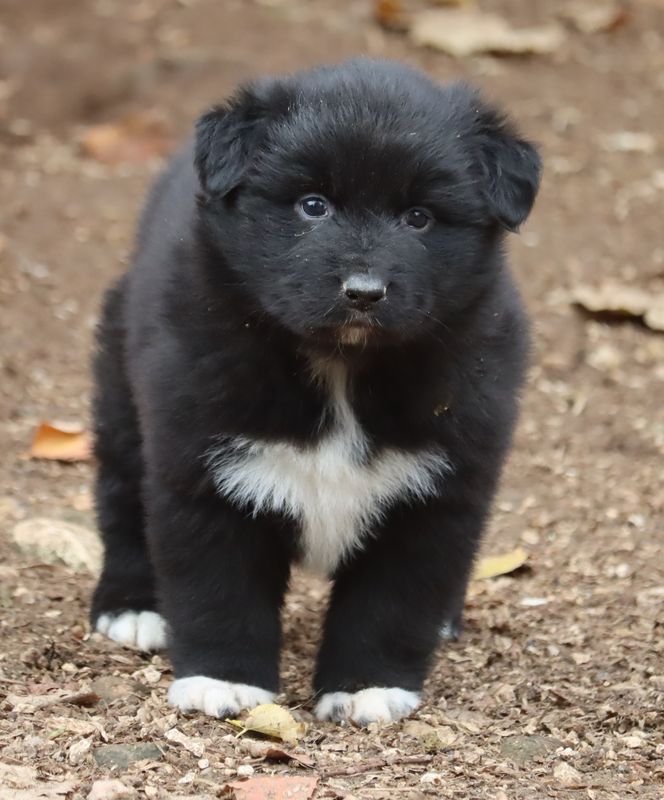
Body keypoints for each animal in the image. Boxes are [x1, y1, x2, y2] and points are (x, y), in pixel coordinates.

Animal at [91, 57, 544, 724]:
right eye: (313, 205)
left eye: (419, 217)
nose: (364, 291)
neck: (341, 369)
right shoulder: (202, 475)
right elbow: (218, 586)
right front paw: (223, 680)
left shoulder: (436, 493)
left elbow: (390, 601)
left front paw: (367, 686)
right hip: (122, 399)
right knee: (121, 499)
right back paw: (130, 605)